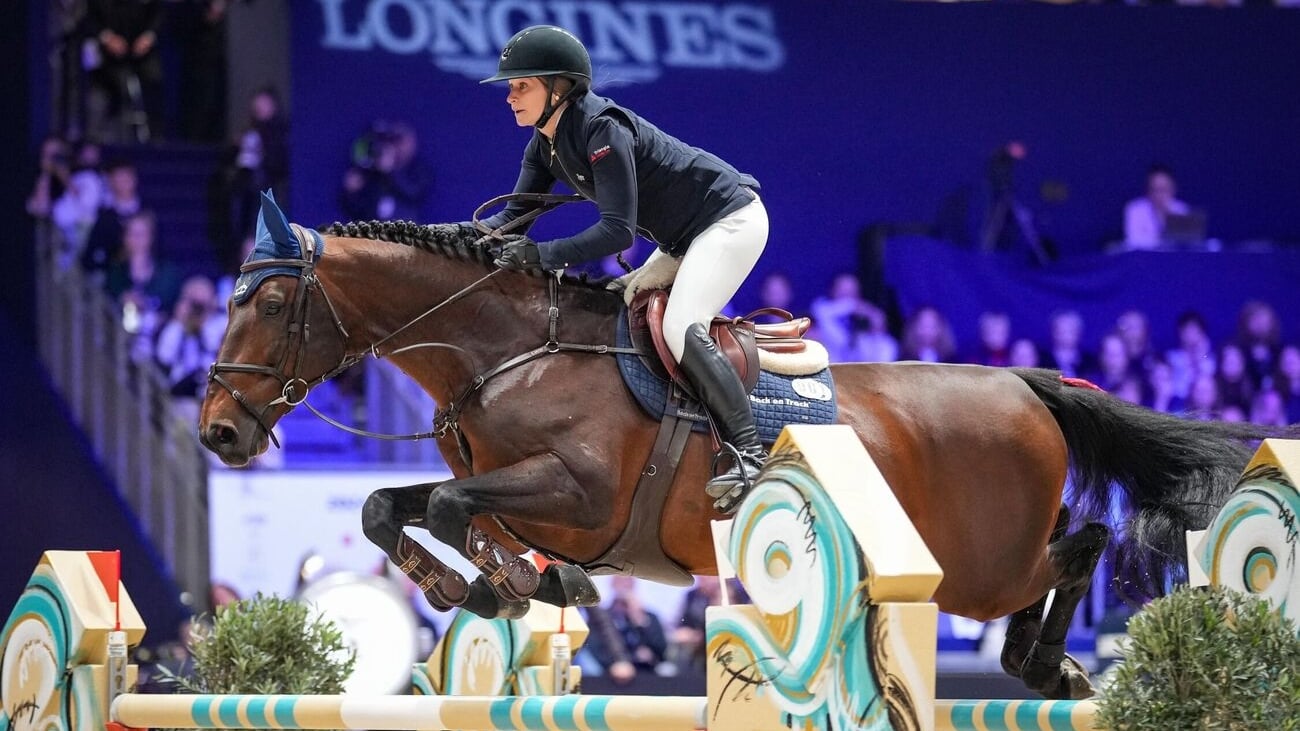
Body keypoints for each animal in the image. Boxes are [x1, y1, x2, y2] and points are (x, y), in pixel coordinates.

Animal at [197, 196, 1284, 697]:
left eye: (273, 303)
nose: (219, 429)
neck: (506, 352)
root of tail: (1025, 382)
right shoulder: (508, 486)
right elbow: (394, 505)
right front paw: (501, 581)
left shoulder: (577, 495)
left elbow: (466, 511)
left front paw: (515, 581)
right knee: (1069, 548)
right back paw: (1043, 663)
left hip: (982, 563)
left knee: (1077, 548)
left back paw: (1046, 661)